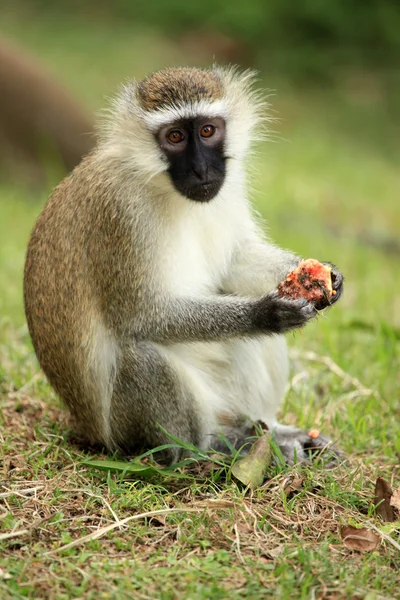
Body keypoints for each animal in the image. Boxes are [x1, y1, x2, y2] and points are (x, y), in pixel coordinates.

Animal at [24, 67, 344, 464]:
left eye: (207, 130)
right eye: (174, 137)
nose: (201, 168)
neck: (161, 187)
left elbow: (233, 261)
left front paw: (323, 276)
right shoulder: (119, 213)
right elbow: (140, 315)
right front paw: (264, 314)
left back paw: (270, 431)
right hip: (125, 430)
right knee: (142, 357)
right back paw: (209, 448)